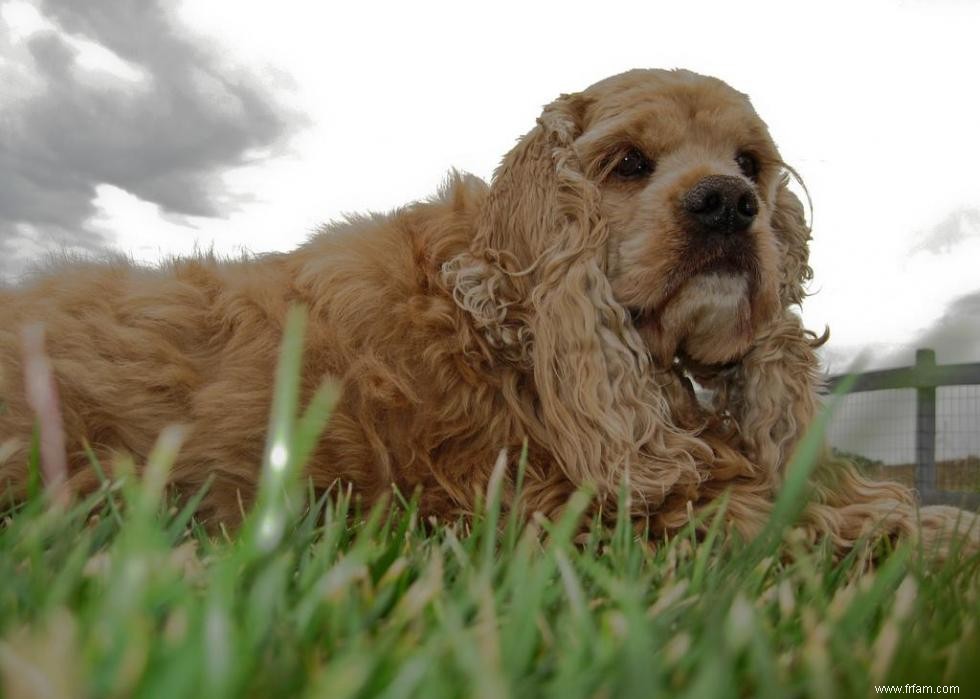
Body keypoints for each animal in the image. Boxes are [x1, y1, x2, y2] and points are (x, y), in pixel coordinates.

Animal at [0, 68, 972, 556]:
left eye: (751, 163)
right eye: (628, 163)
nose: (729, 205)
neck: (508, 318)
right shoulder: (558, 507)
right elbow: (785, 510)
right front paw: (923, 525)